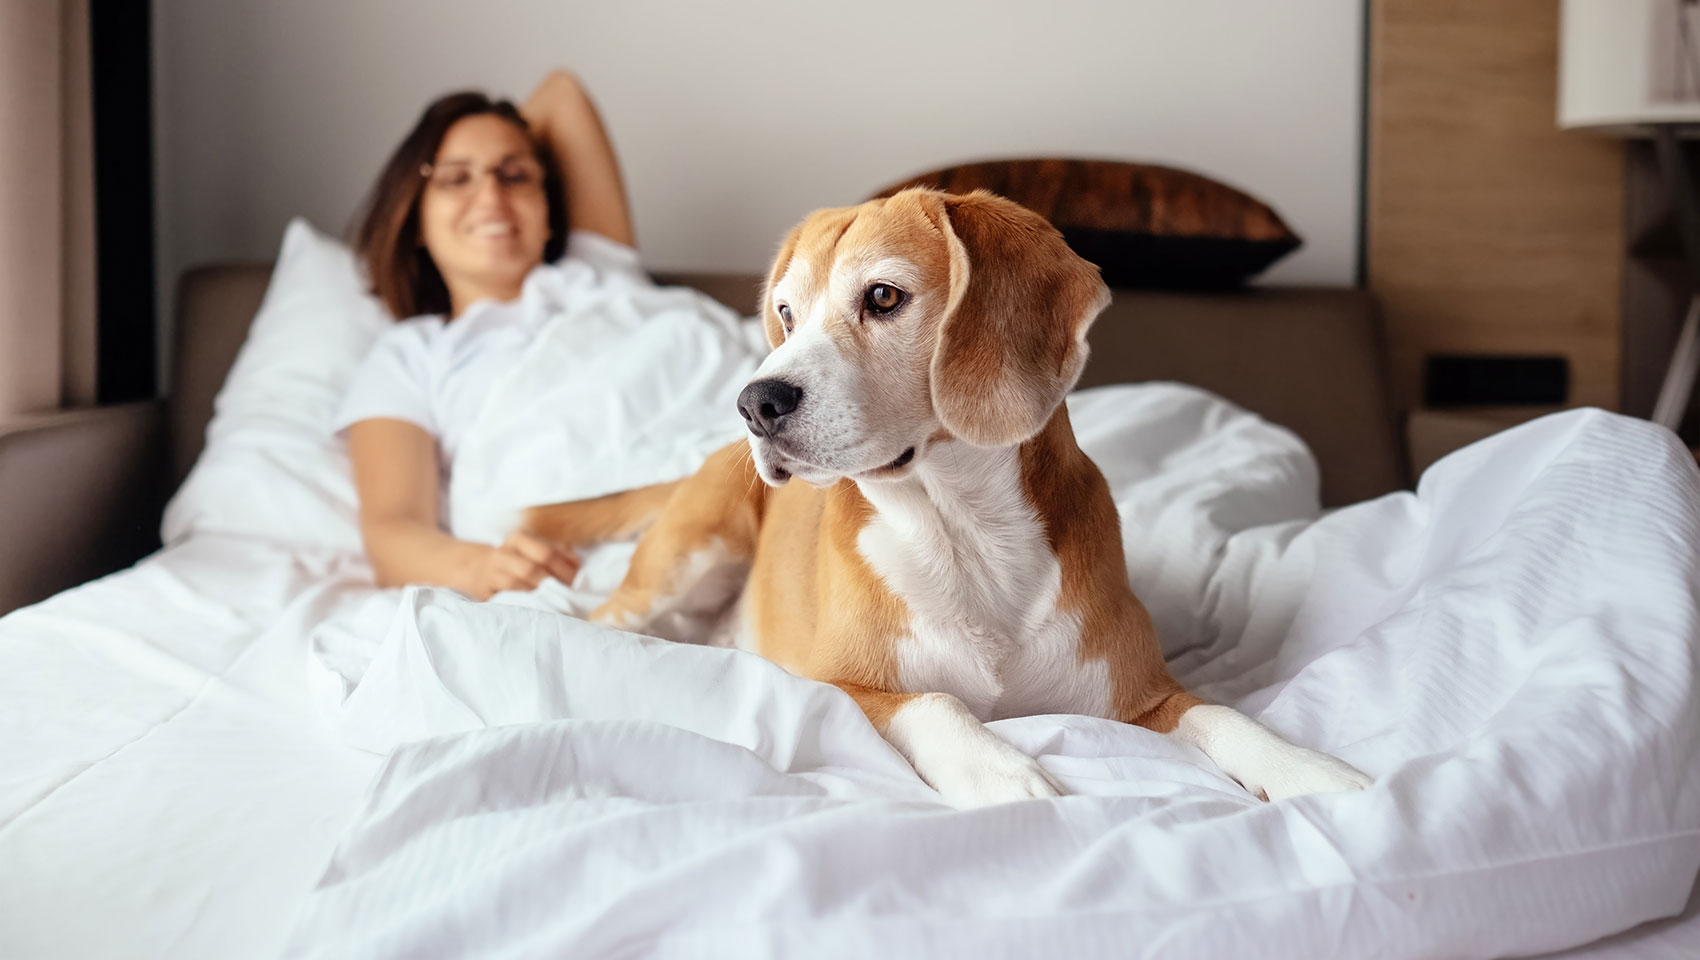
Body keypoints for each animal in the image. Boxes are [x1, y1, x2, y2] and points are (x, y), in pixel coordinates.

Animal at [523, 189, 1373, 808]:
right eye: (787, 314)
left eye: (883, 297)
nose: (754, 403)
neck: (962, 530)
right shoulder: (838, 685)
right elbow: (935, 703)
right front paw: (999, 771)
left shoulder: (1144, 696)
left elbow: (1225, 714)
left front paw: (1309, 769)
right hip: (687, 556)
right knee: (603, 617)